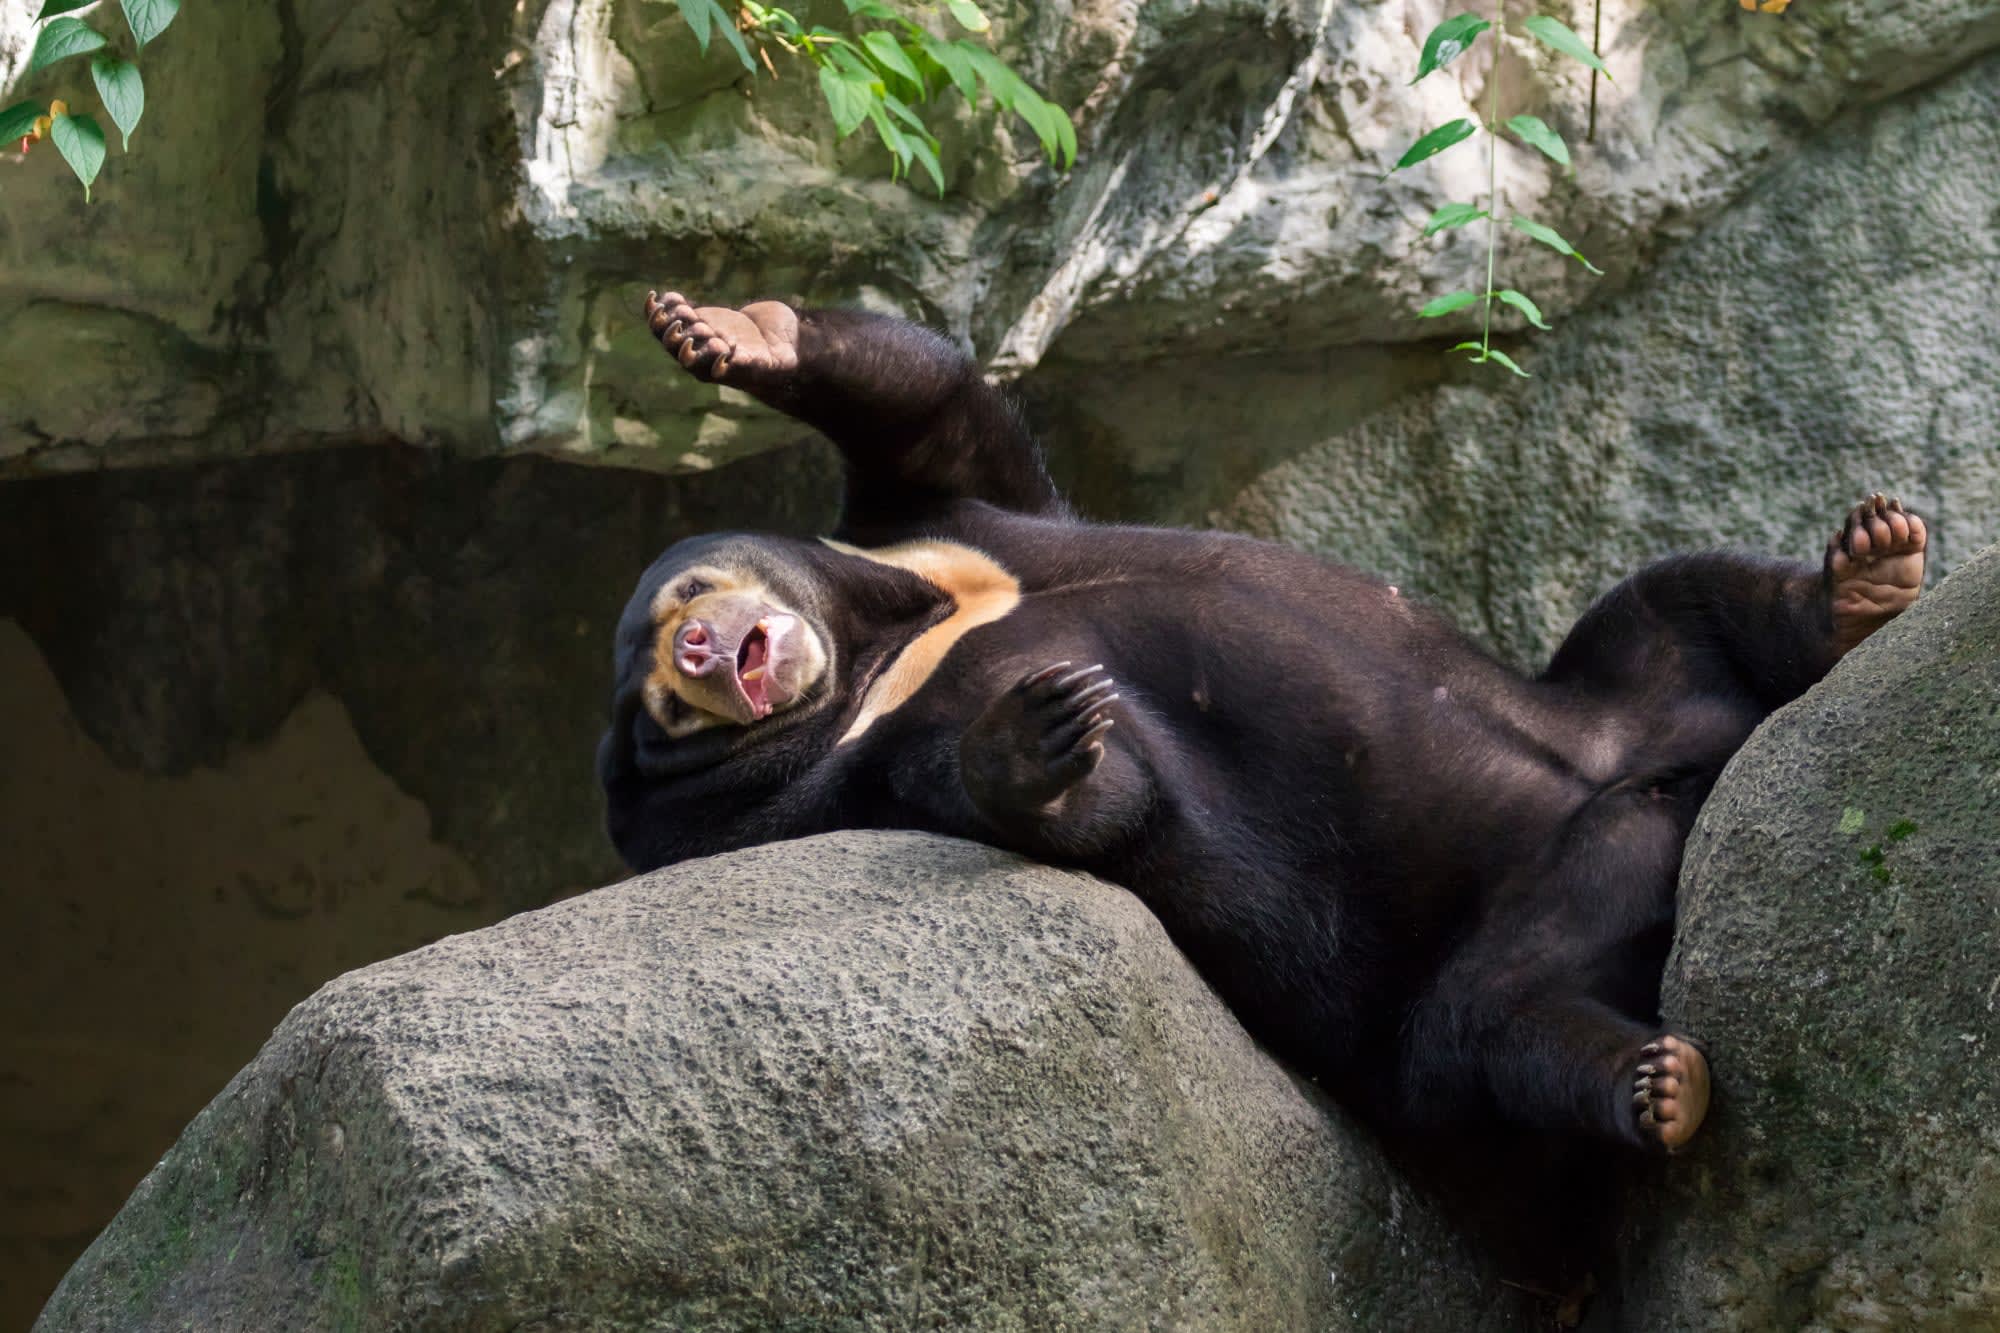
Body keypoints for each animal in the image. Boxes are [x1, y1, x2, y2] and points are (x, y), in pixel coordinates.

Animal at [598, 290, 1927, 1155]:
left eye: (682, 597)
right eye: (664, 704)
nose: (704, 651)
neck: (881, 655)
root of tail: (1647, 807)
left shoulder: (950, 524)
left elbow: (938, 409)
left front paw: (717, 330)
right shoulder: (870, 769)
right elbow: (1079, 804)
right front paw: (1039, 729)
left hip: (1626, 694)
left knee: (1676, 603)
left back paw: (1864, 574)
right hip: (1465, 978)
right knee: (1503, 1032)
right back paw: (1654, 1088)